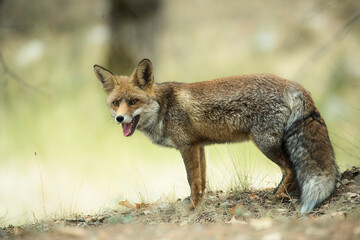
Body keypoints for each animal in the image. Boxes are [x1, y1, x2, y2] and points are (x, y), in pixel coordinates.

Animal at [93, 58, 338, 214]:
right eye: (116, 103)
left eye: (133, 101)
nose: (120, 118)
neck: (164, 107)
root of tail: (293, 84)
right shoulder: (199, 146)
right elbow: (201, 182)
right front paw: (199, 203)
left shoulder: (187, 146)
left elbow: (192, 180)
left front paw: (192, 208)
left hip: (265, 143)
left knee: (290, 169)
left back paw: (277, 196)